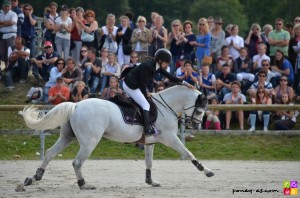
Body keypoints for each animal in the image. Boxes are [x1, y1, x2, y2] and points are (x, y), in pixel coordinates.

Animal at [21, 84, 213, 189]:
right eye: (200, 109)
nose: (197, 125)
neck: (166, 107)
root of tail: (76, 105)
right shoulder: (170, 138)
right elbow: (188, 153)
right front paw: (206, 171)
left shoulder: (150, 141)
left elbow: (149, 162)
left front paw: (150, 181)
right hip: (89, 142)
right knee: (77, 162)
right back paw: (84, 184)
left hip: (68, 137)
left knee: (50, 154)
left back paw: (34, 177)